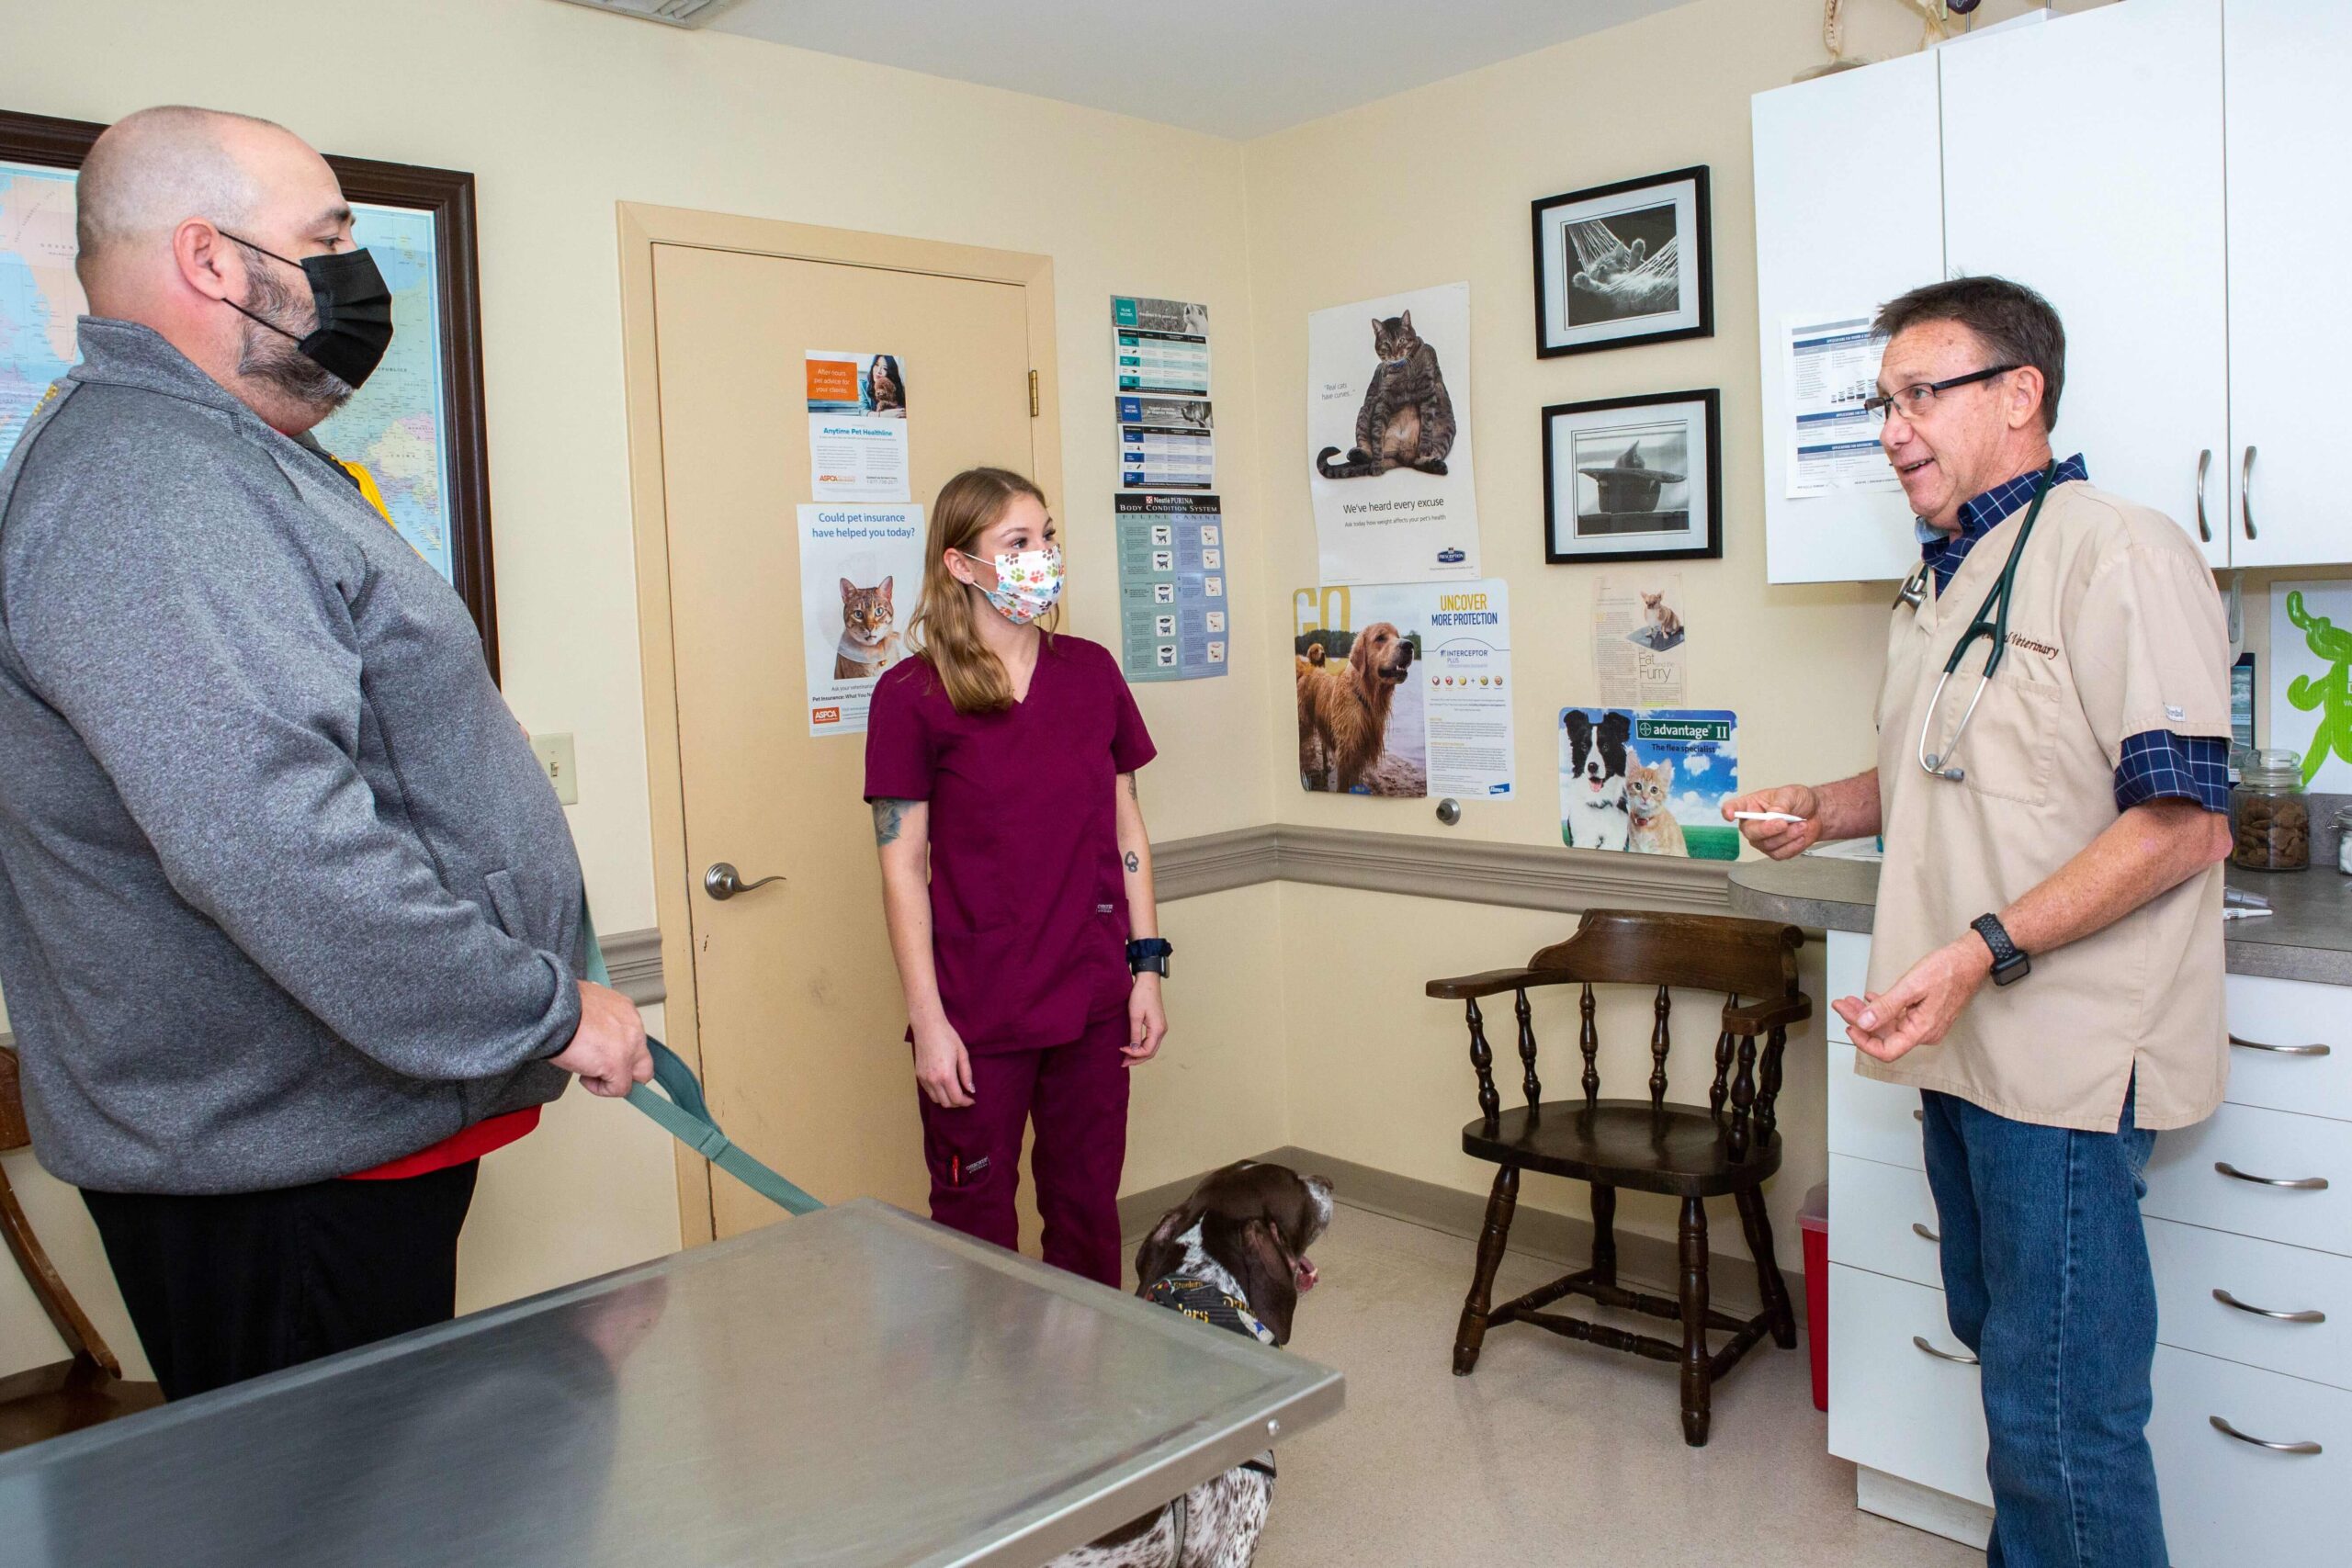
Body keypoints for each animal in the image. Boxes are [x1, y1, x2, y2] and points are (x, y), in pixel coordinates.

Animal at [1298, 620, 1401, 799]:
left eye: (1398, 636)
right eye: (1380, 637)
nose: (1408, 645)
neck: (1363, 695)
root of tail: (1308, 670)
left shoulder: (1360, 751)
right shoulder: (1347, 750)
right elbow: (1343, 786)